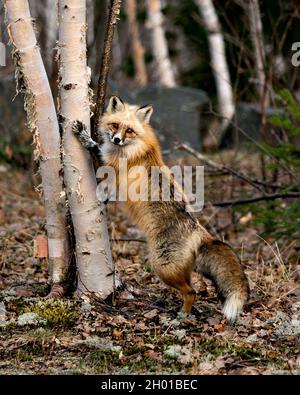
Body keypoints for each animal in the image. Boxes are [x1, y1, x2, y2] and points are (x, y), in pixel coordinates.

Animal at [72, 96, 248, 324]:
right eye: (115, 125)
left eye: (129, 130)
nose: (117, 140)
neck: (134, 145)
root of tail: (199, 231)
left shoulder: (111, 164)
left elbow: (96, 149)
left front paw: (84, 136)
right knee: (192, 290)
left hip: (162, 268)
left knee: (192, 292)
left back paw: (180, 317)